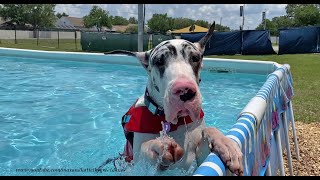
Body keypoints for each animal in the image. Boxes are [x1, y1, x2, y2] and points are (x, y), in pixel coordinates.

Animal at [104, 21, 242, 175]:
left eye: (195, 58)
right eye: (159, 61)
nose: (185, 91)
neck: (175, 123)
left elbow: (208, 130)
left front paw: (225, 144)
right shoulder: (138, 167)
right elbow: (146, 148)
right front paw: (158, 145)